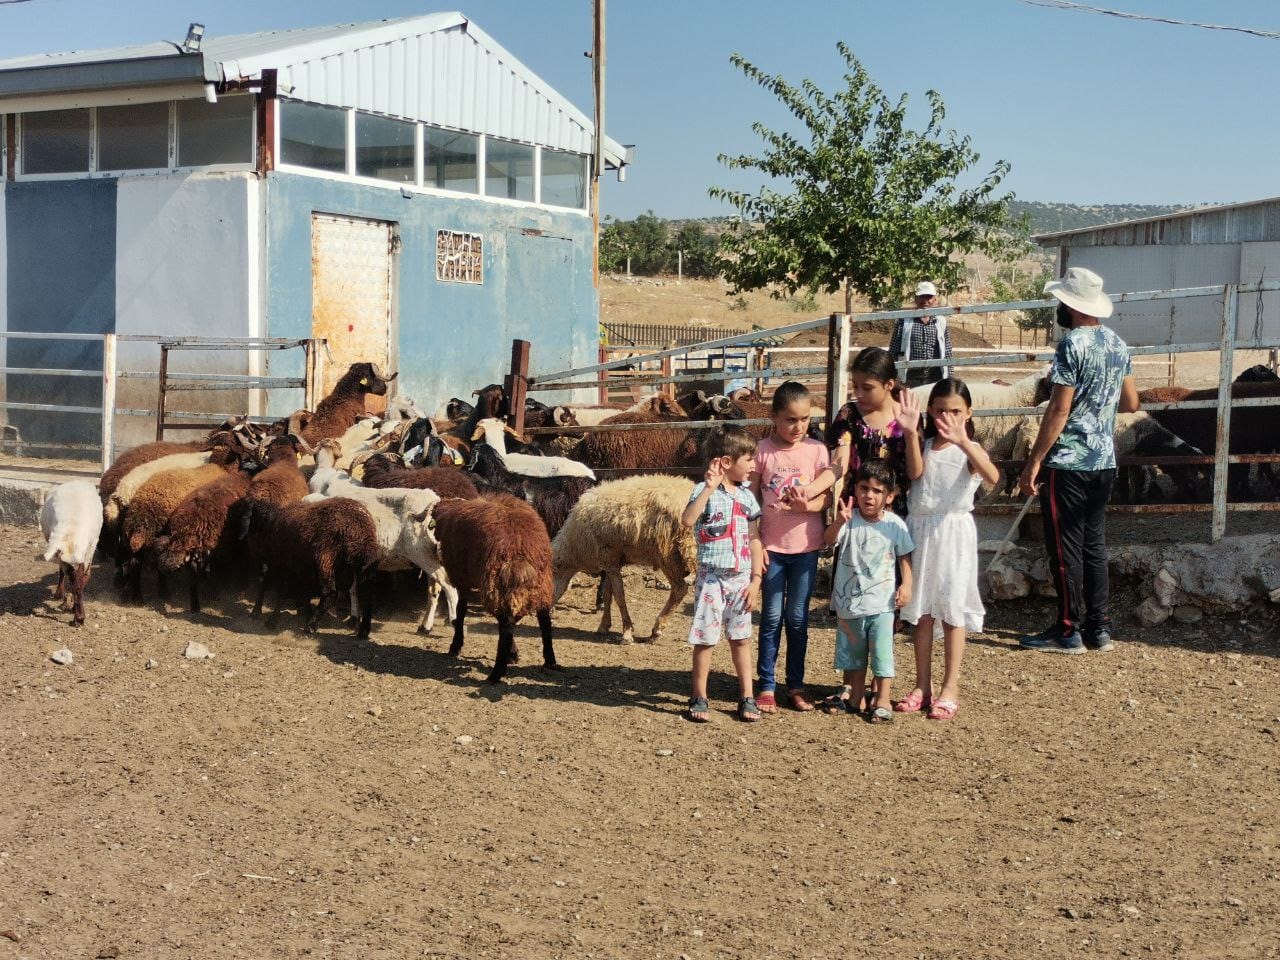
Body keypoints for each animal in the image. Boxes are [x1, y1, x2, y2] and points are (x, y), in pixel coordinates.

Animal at [545, 476, 696, 642]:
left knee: (680, 589)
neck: (575, 547)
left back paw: (657, 629)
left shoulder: (609, 560)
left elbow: (619, 596)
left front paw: (627, 633)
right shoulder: (610, 562)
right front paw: (604, 626)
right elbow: (607, 594)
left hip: (670, 555)